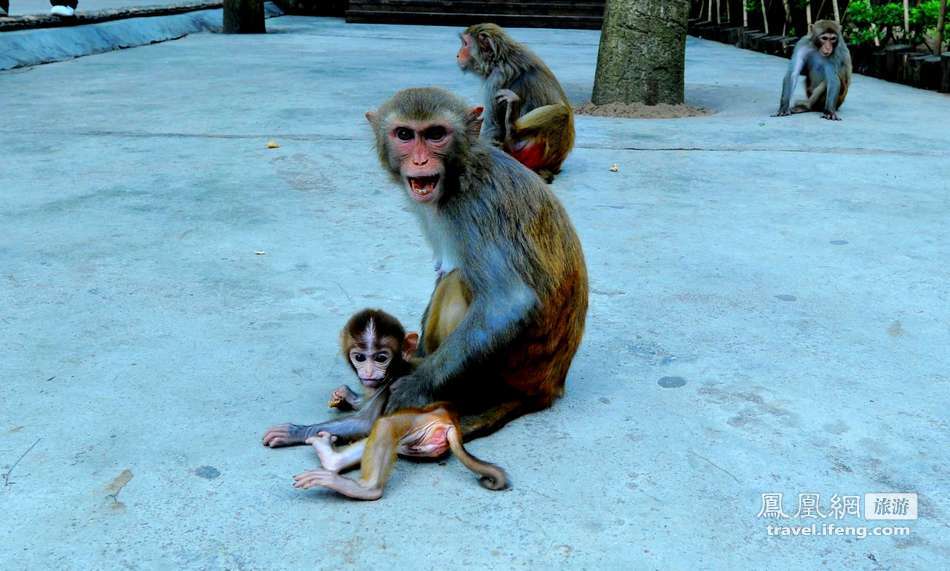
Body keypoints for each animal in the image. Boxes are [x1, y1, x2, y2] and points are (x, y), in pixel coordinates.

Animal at [458, 22, 576, 181]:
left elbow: (493, 128)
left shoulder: (496, 80)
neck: (499, 59)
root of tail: (556, 167)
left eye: (465, 44)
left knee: (561, 112)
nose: (458, 54)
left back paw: (512, 130)